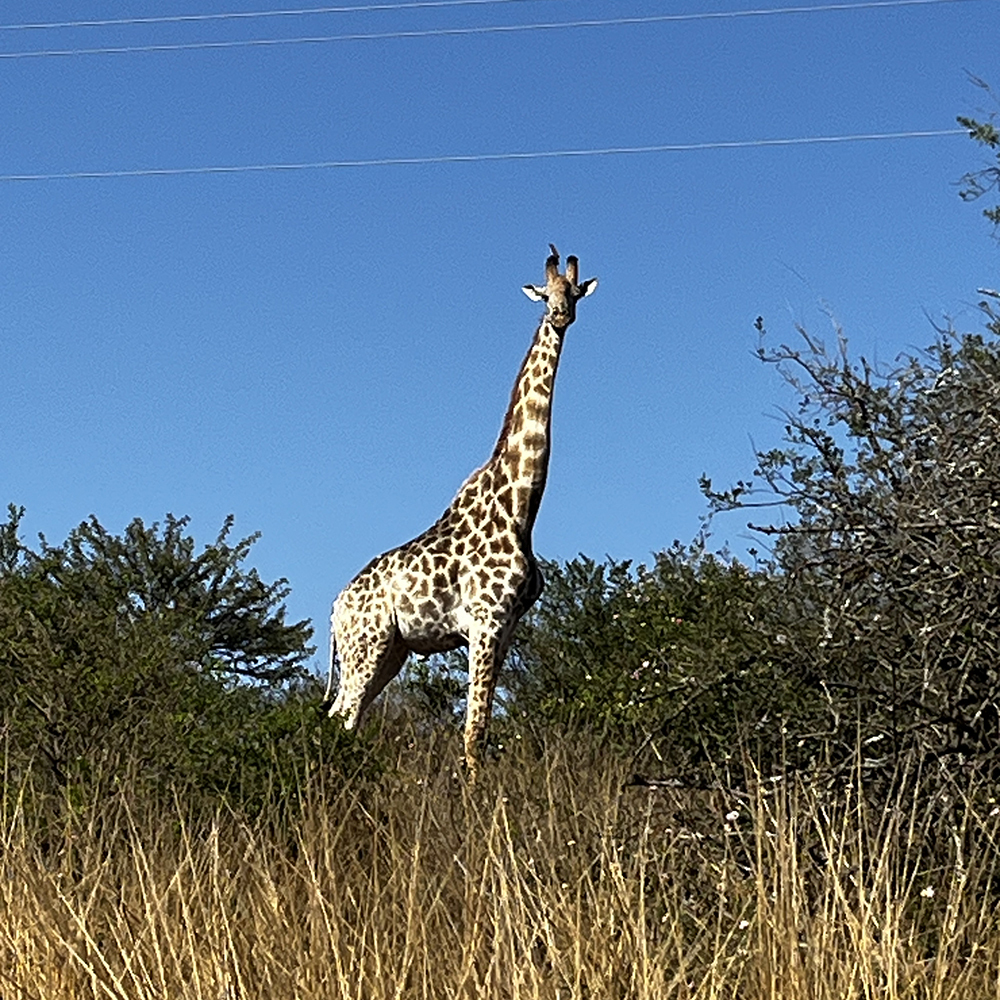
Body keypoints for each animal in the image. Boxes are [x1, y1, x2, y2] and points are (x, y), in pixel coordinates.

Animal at [326, 245, 597, 776]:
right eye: (545, 293)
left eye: (574, 292)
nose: (560, 315)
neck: (520, 507)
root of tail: (334, 609)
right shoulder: (485, 621)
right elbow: (473, 733)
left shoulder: (506, 627)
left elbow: (482, 728)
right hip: (365, 645)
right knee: (341, 716)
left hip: (390, 651)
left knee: (343, 719)